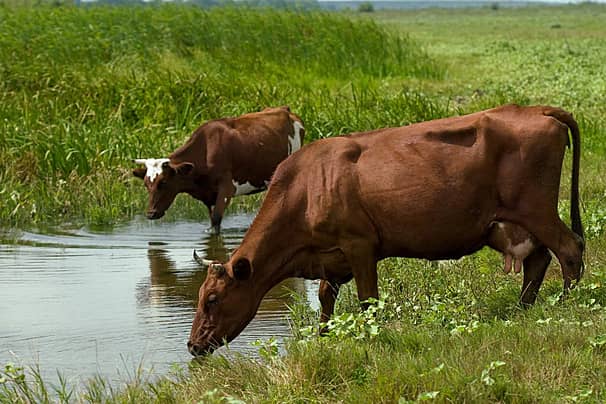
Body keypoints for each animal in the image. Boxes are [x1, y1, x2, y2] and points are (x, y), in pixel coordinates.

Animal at [132, 105, 304, 234]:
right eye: (146, 185)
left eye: (164, 182)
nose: (150, 214)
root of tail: (285, 109)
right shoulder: (208, 196)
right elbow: (213, 223)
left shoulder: (227, 189)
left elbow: (216, 221)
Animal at [189, 105, 584, 356]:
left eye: (213, 299)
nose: (192, 346)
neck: (305, 187)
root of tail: (537, 109)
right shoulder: (330, 258)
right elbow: (325, 299)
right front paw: (323, 337)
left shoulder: (359, 246)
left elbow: (368, 300)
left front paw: (368, 337)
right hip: (520, 223)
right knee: (538, 261)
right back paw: (523, 309)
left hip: (537, 210)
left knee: (569, 249)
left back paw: (567, 307)